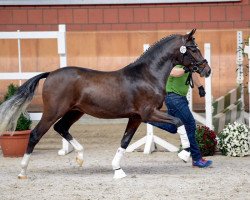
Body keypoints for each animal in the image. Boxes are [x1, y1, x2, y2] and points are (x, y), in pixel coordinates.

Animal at [0, 28, 211, 179]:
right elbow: (179, 122)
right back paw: (22, 171)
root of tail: (50, 73)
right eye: (193, 48)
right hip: (53, 111)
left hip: (75, 111)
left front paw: (118, 170)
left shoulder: (136, 117)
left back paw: (80, 157)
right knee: (35, 134)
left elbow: (125, 141)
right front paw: (184, 154)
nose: (207, 70)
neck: (148, 75)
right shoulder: (148, 113)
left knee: (61, 128)